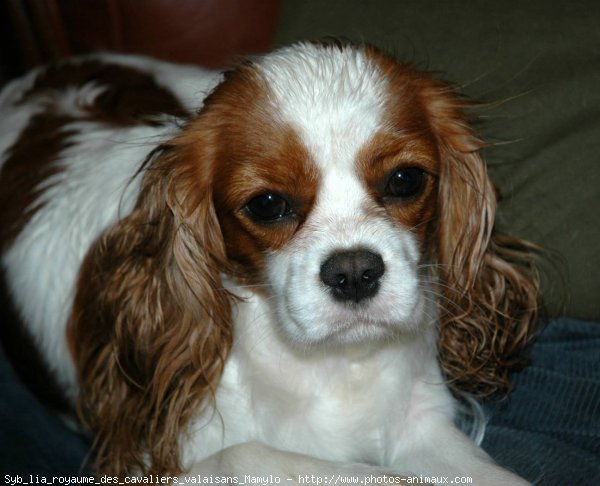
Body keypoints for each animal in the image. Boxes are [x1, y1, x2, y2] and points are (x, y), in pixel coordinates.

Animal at [0, 42, 540, 482]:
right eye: (267, 204)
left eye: (405, 179)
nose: (354, 273)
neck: (330, 365)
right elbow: (258, 456)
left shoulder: (420, 421)